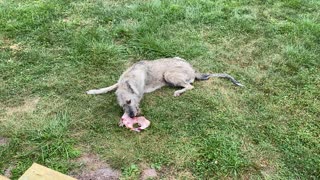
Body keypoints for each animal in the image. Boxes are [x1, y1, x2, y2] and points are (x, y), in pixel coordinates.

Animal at [85, 57, 242, 129]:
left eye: (129, 101)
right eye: (121, 106)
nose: (132, 116)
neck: (129, 78)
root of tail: (193, 70)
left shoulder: (138, 95)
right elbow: (110, 86)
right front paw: (95, 91)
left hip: (169, 75)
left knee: (190, 86)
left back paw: (178, 92)